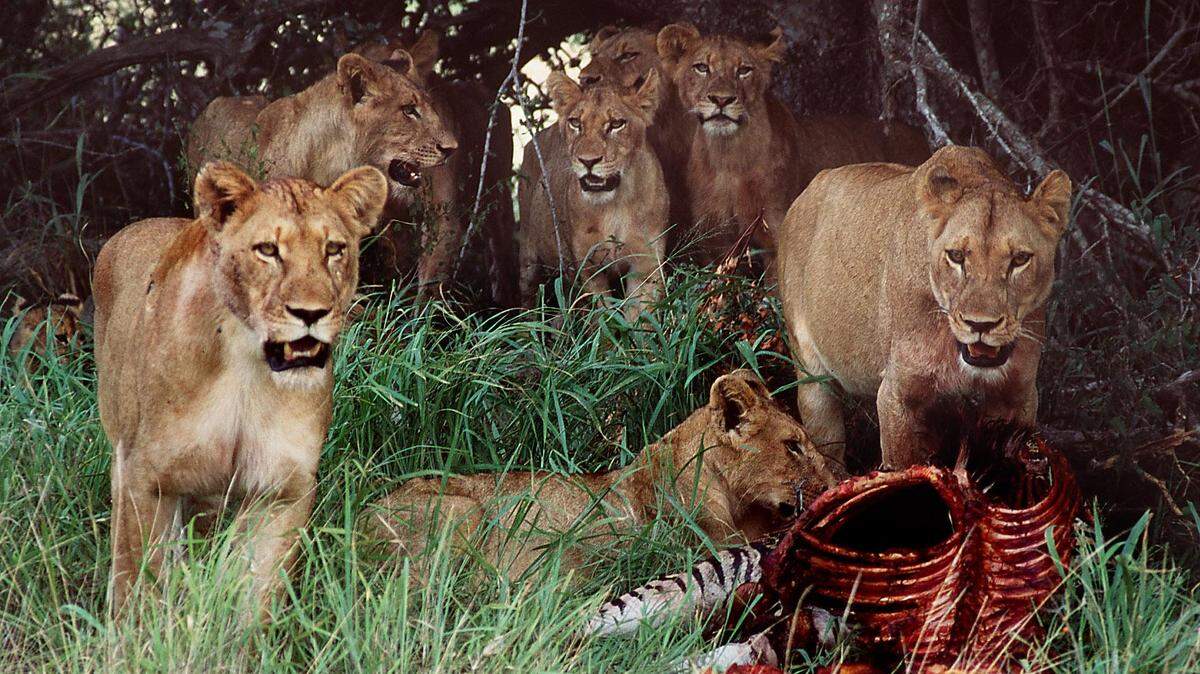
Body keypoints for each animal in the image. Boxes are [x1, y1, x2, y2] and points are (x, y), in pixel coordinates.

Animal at [93, 161, 387, 617]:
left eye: (334, 249)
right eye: (267, 249)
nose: (311, 313)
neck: (247, 371)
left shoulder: (282, 488)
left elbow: (253, 594)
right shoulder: (145, 476)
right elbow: (140, 581)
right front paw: (135, 631)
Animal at [517, 71, 667, 320]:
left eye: (616, 124)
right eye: (576, 123)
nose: (588, 161)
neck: (616, 204)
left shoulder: (646, 265)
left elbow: (640, 317)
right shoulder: (587, 270)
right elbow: (602, 318)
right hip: (529, 262)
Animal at [655, 23, 929, 268]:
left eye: (744, 70)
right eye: (702, 67)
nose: (722, 100)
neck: (728, 158)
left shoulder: (777, 236)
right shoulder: (714, 242)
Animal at [775, 146, 1072, 469]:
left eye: (1020, 259)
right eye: (956, 256)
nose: (980, 325)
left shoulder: (1018, 397)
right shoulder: (896, 396)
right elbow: (902, 469)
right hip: (812, 379)